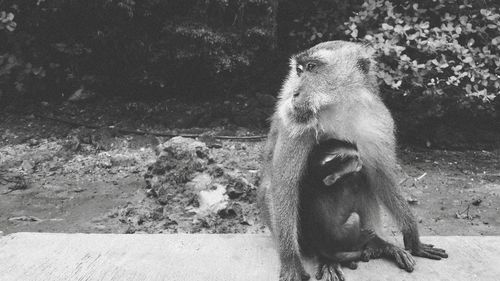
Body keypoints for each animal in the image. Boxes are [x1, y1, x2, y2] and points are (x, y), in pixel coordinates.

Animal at [258, 40, 450, 278]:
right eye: (300, 70)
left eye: (312, 67)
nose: (294, 93)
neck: (338, 109)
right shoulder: (295, 123)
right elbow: (284, 186)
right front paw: (291, 261)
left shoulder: (377, 120)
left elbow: (381, 177)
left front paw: (412, 236)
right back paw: (326, 256)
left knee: (360, 178)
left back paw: (377, 244)